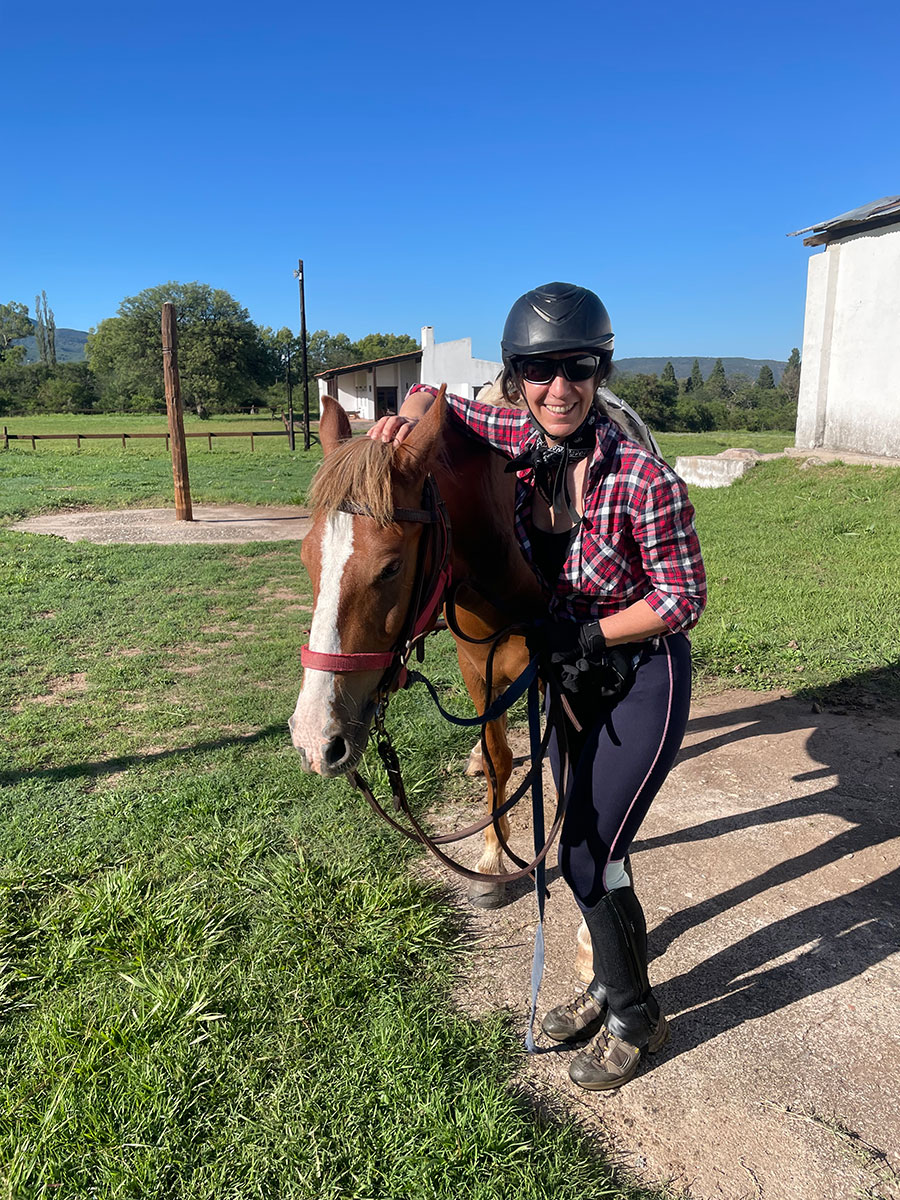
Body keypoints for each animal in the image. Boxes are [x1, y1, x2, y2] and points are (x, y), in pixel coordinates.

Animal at [289, 388, 547, 902]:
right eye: (307, 556)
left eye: (391, 567)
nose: (313, 738)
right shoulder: (478, 672)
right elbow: (498, 760)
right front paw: (492, 855)